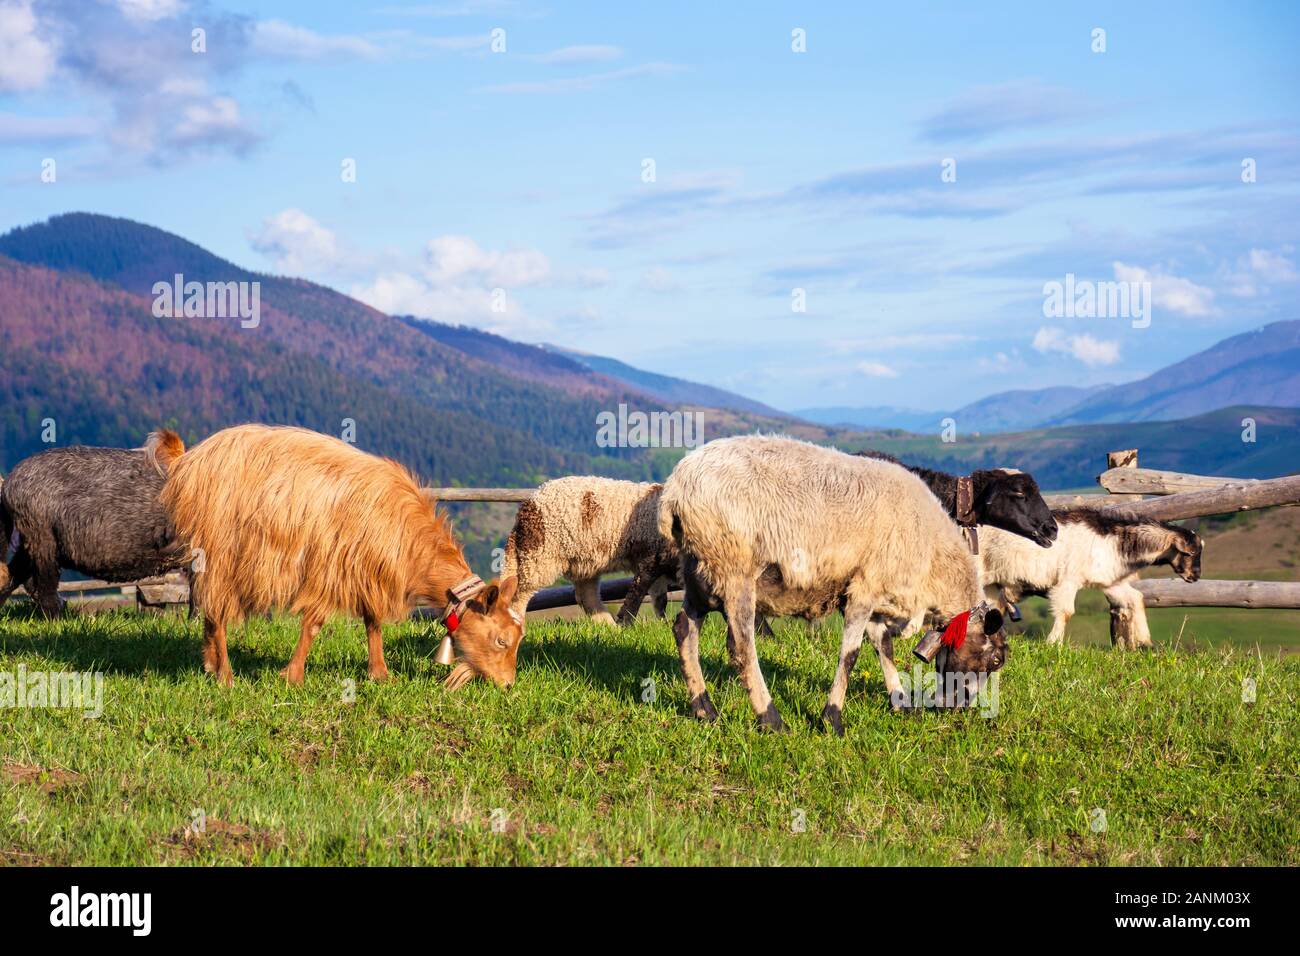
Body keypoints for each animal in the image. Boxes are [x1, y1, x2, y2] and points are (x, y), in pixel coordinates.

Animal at [0, 431, 187, 616]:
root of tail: (8, 484)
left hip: (30, 541)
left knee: (13, 575)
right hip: (41, 537)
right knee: (42, 584)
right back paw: (58, 617)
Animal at [160, 424, 522, 687]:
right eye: (501, 640)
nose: (507, 685)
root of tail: (188, 461)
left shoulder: (369, 572)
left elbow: (373, 622)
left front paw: (380, 674)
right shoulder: (330, 569)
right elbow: (314, 624)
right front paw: (293, 677)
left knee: (209, 608)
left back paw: (209, 664)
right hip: (220, 551)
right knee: (218, 610)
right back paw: (225, 675)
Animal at [501, 476, 677, 626]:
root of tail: (528, 504)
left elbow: (659, 598)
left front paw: (663, 623)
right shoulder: (650, 557)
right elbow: (639, 591)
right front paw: (627, 621)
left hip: (583, 561)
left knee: (586, 595)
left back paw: (609, 626)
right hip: (541, 555)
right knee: (520, 593)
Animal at [660, 435, 1006, 734]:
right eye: (996, 659)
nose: (961, 706)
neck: (935, 559)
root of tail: (675, 489)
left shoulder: (873, 591)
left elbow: (884, 647)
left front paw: (900, 702)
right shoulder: (863, 590)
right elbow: (851, 654)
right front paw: (832, 719)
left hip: (700, 572)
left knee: (684, 629)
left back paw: (704, 709)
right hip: (734, 569)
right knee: (742, 646)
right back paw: (771, 719)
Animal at [979, 508, 1203, 647]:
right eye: (1190, 552)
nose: (1195, 576)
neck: (1111, 540)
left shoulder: (1110, 583)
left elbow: (1136, 599)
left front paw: (1146, 643)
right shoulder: (1068, 579)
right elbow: (1066, 612)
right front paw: (1053, 642)